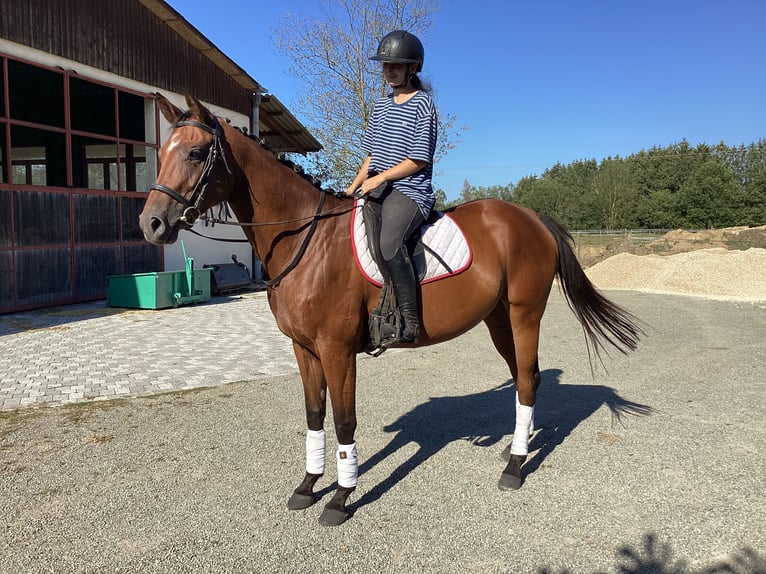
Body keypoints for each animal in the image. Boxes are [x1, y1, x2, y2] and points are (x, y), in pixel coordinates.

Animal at [138, 93, 640, 528]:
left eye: (197, 154)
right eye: (161, 154)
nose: (152, 224)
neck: (305, 239)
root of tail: (532, 218)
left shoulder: (337, 348)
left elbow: (344, 420)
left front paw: (341, 497)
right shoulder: (304, 349)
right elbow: (314, 415)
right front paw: (308, 486)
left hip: (523, 313)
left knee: (530, 377)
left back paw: (515, 467)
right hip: (498, 319)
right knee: (523, 376)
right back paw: (516, 448)